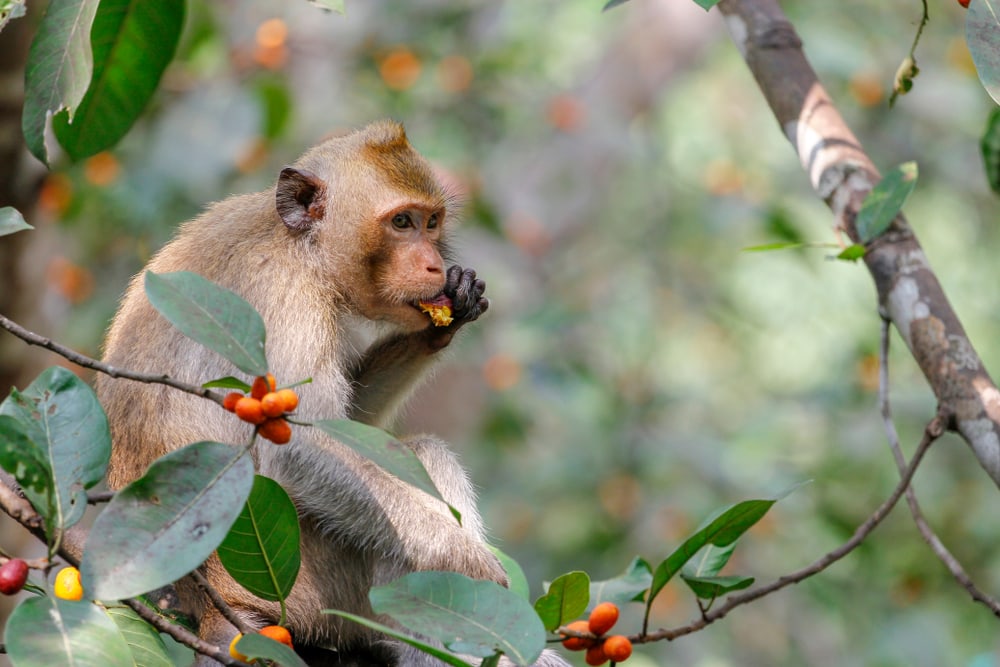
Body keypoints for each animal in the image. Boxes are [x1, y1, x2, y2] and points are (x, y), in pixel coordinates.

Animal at [96, 121, 570, 667]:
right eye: (401, 222)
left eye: (431, 223)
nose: (434, 264)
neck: (302, 245)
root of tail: (210, 606)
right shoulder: (287, 301)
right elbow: (301, 447)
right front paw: (464, 560)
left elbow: (354, 424)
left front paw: (447, 316)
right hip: (311, 582)